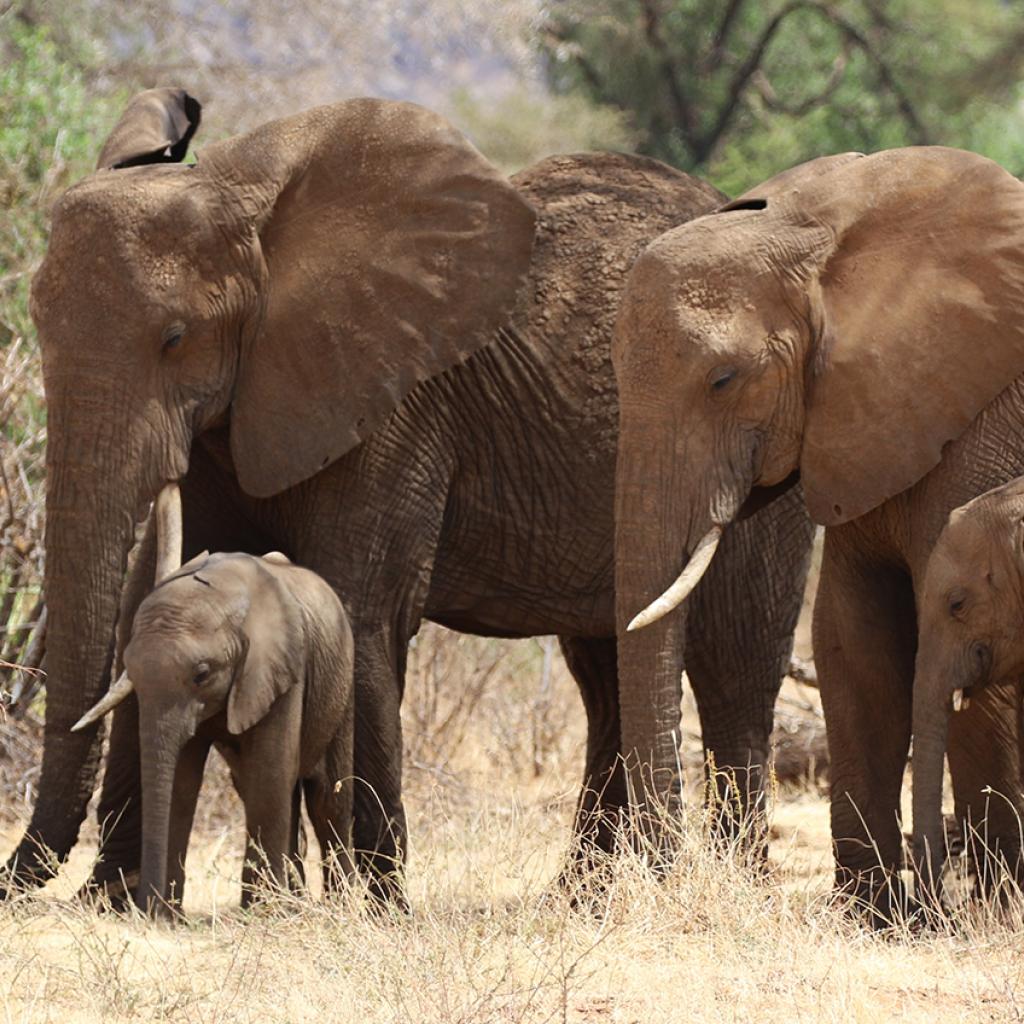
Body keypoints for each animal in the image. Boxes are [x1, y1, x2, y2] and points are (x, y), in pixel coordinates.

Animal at [72, 552, 352, 913]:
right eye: (130, 670)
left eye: (202, 674)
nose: (143, 902)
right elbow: (181, 783)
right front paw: (165, 915)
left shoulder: (282, 670)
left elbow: (270, 774)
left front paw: (263, 914)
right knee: (264, 790)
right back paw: (292, 903)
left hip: (341, 685)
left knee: (327, 798)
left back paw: (336, 906)